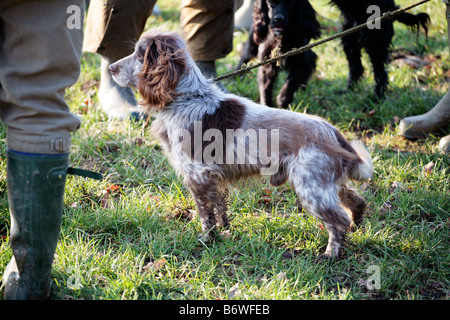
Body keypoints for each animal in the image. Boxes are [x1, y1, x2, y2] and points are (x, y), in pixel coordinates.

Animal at [110, 29, 374, 260]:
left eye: (139, 54)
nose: (111, 68)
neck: (186, 98)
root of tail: (334, 133)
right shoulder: (214, 176)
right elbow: (220, 208)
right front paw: (225, 232)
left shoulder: (197, 174)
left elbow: (205, 214)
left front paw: (207, 239)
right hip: (327, 182)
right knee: (356, 201)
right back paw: (358, 227)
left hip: (310, 188)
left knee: (338, 221)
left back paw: (331, 254)